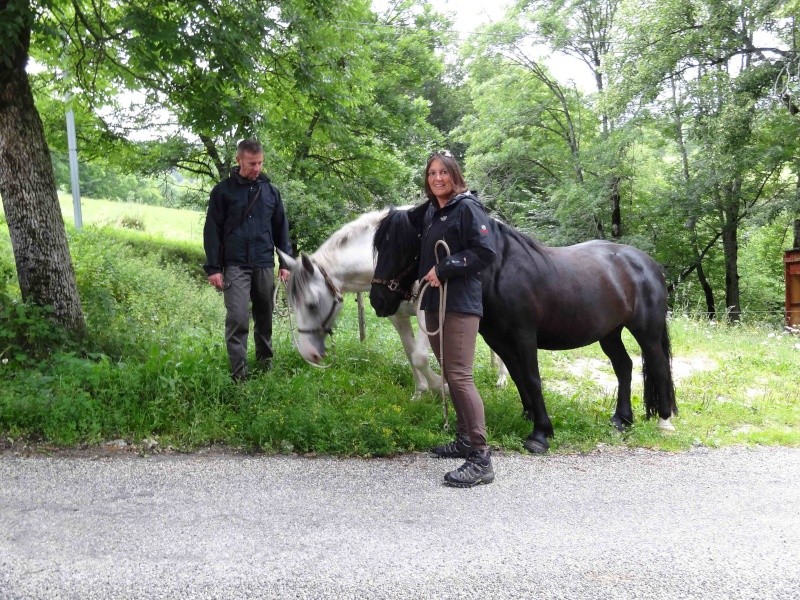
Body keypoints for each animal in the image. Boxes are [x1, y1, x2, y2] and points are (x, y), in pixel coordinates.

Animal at [278, 207, 510, 398]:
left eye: (312, 304)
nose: (308, 353)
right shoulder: (397, 317)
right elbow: (410, 351)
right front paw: (420, 391)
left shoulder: (428, 313)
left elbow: (420, 356)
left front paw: (440, 386)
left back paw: (501, 378)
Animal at [368, 204, 676, 452]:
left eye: (403, 245)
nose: (378, 301)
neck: (498, 272)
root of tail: (648, 263)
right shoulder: (497, 339)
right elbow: (516, 375)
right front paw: (528, 414)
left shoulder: (524, 336)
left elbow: (532, 378)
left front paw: (541, 433)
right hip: (609, 333)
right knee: (623, 366)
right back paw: (621, 420)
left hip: (646, 332)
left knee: (659, 366)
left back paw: (664, 421)